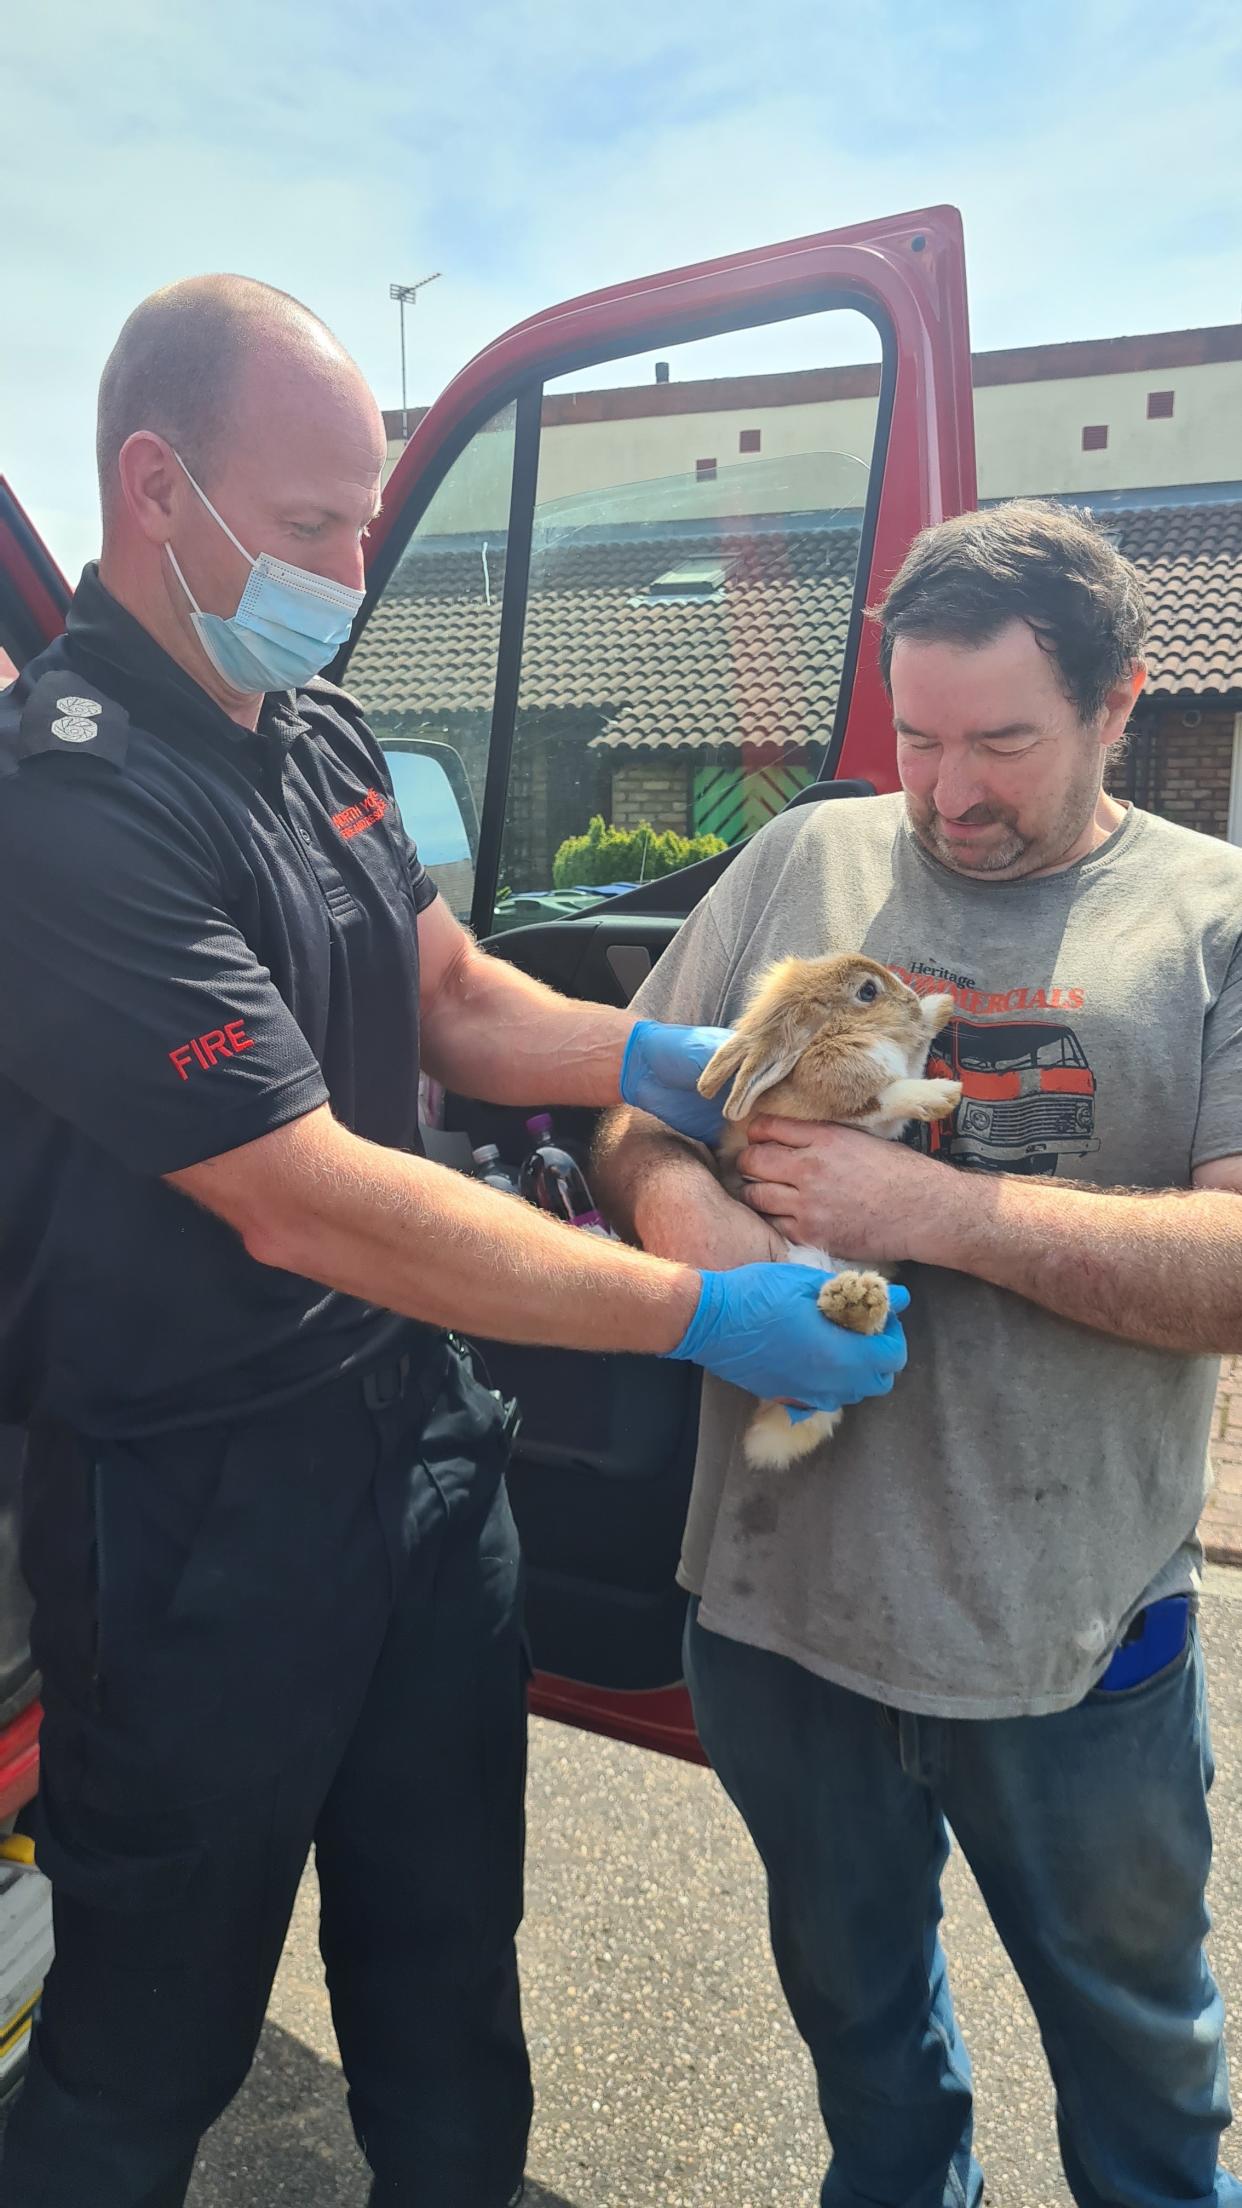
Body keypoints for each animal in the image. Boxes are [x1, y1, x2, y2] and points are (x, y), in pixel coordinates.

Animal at [698, 949, 959, 1466]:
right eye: (867, 992)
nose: (910, 1002)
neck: (834, 1034)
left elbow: (914, 1060)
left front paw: (939, 1007)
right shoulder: (846, 1101)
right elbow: (887, 1096)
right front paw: (941, 1095)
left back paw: (859, 1298)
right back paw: (852, 1299)